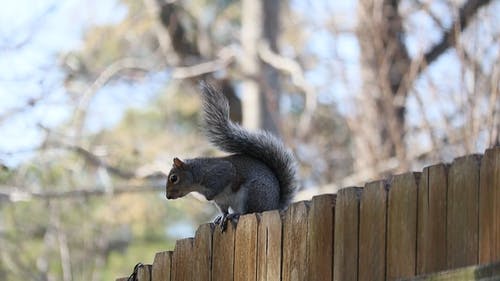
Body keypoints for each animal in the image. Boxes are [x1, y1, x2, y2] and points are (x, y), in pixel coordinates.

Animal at [166, 82, 296, 226]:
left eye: (173, 178)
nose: (168, 196)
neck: (197, 174)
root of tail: (274, 207)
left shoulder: (220, 173)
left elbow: (224, 178)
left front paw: (208, 197)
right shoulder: (220, 201)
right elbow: (223, 210)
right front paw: (221, 217)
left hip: (253, 193)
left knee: (250, 211)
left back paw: (236, 214)